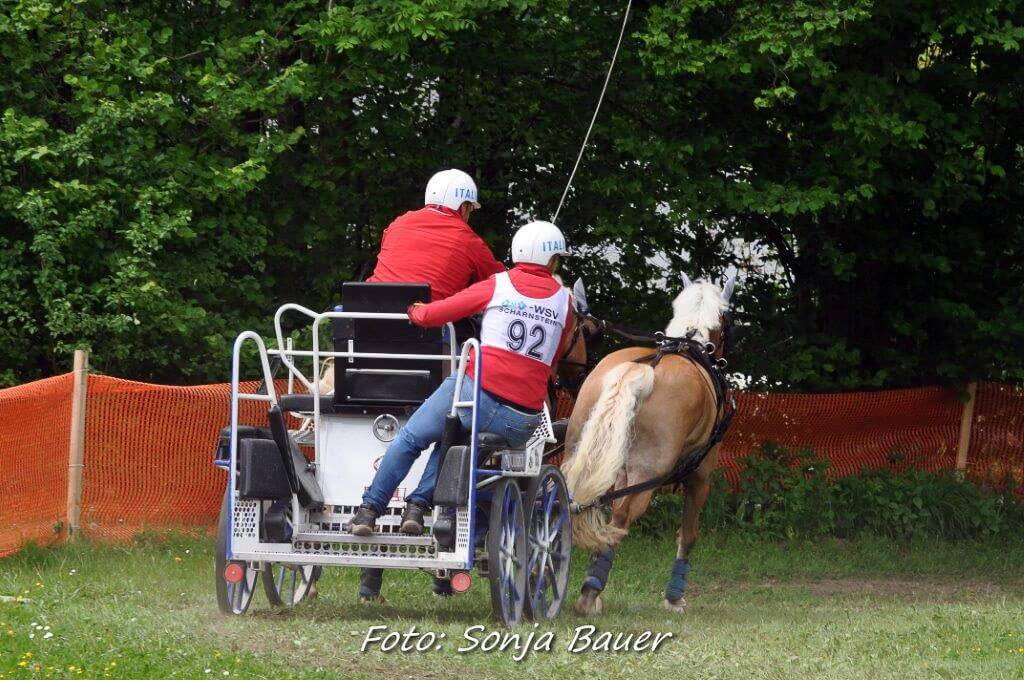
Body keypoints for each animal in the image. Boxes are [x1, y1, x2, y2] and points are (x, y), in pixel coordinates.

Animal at [562, 273, 735, 615]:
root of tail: (639, 370)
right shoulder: (701, 475)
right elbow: (689, 534)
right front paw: (674, 597)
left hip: (578, 451)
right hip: (647, 477)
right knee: (620, 520)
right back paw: (590, 593)